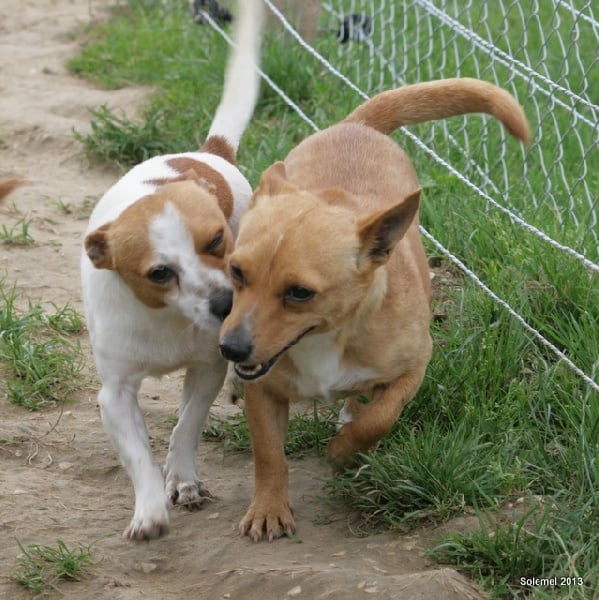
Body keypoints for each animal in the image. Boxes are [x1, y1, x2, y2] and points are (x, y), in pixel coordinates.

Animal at [81, 0, 264, 540]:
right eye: (160, 273)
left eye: (216, 241)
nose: (227, 303)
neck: (166, 319)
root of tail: (208, 152)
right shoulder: (116, 395)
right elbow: (138, 455)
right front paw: (149, 510)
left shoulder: (206, 367)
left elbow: (185, 427)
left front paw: (182, 480)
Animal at [219, 77, 528, 540]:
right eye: (237, 271)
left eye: (300, 293)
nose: (231, 349)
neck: (327, 337)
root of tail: (357, 125)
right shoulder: (265, 390)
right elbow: (269, 453)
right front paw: (269, 508)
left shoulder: (413, 368)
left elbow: (378, 418)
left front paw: (344, 451)